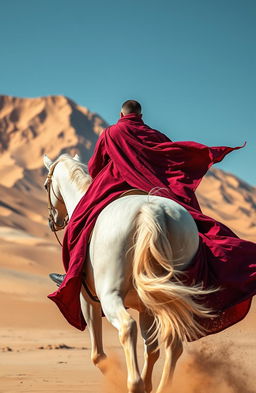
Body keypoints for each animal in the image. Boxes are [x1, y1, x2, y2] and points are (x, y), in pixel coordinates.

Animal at [43, 152, 213, 392]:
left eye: (45, 185)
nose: (54, 221)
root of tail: (152, 211)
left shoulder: (87, 298)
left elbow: (98, 356)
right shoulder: (146, 308)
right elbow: (152, 348)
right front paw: (149, 383)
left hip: (109, 296)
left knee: (127, 327)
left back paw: (134, 382)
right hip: (168, 294)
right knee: (172, 341)